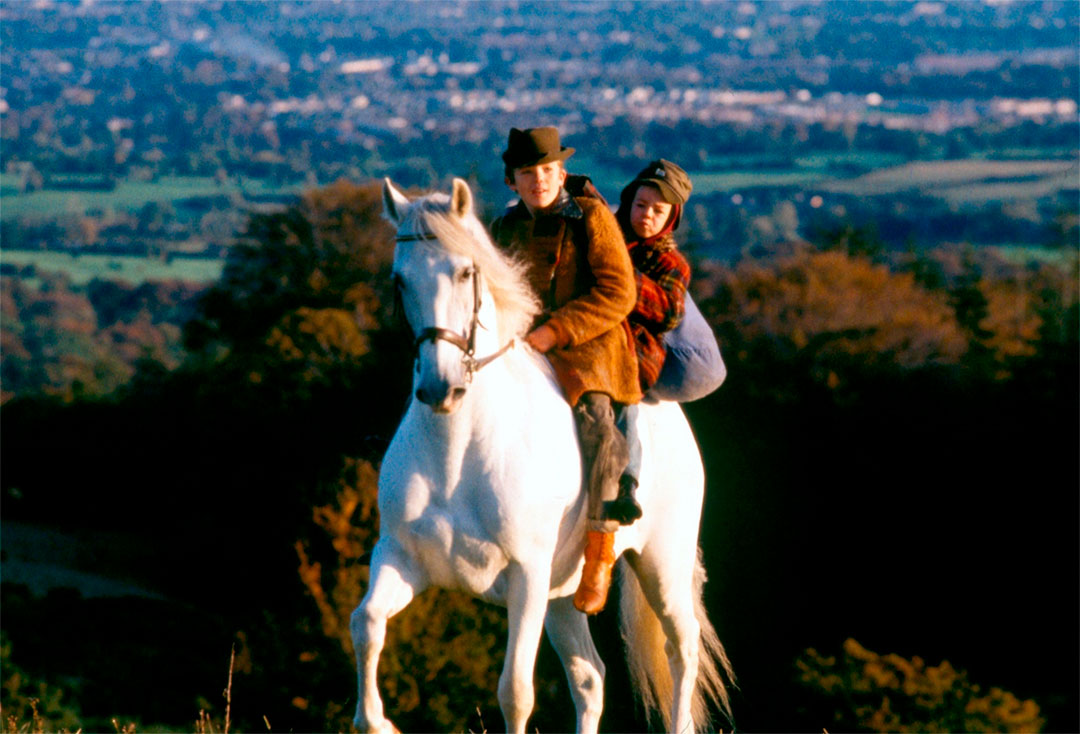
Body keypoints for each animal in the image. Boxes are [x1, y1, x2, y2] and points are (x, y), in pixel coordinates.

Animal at [352, 178, 734, 734]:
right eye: (400, 281)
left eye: (465, 272)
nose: (441, 388)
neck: (456, 454)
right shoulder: (401, 558)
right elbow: (365, 624)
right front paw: (377, 721)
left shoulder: (526, 576)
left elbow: (515, 691)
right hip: (563, 594)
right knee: (591, 678)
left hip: (662, 564)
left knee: (682, 650)